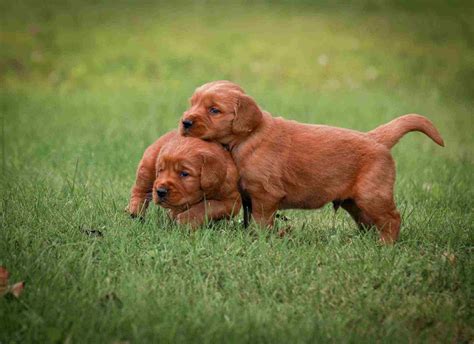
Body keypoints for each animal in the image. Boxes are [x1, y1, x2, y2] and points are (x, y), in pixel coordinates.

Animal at [179, 80, 444, 242]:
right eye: (192, 104)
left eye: (214, 110)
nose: (185, 122)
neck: (247, 138)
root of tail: (375, 137)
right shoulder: (247, 196)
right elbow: (247, 217)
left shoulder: (265, 195)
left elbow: (260, 221)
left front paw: (257, 239)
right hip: (356, 202)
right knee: (369, 221)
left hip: (373, 195)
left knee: (392, 218)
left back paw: (385, 245)